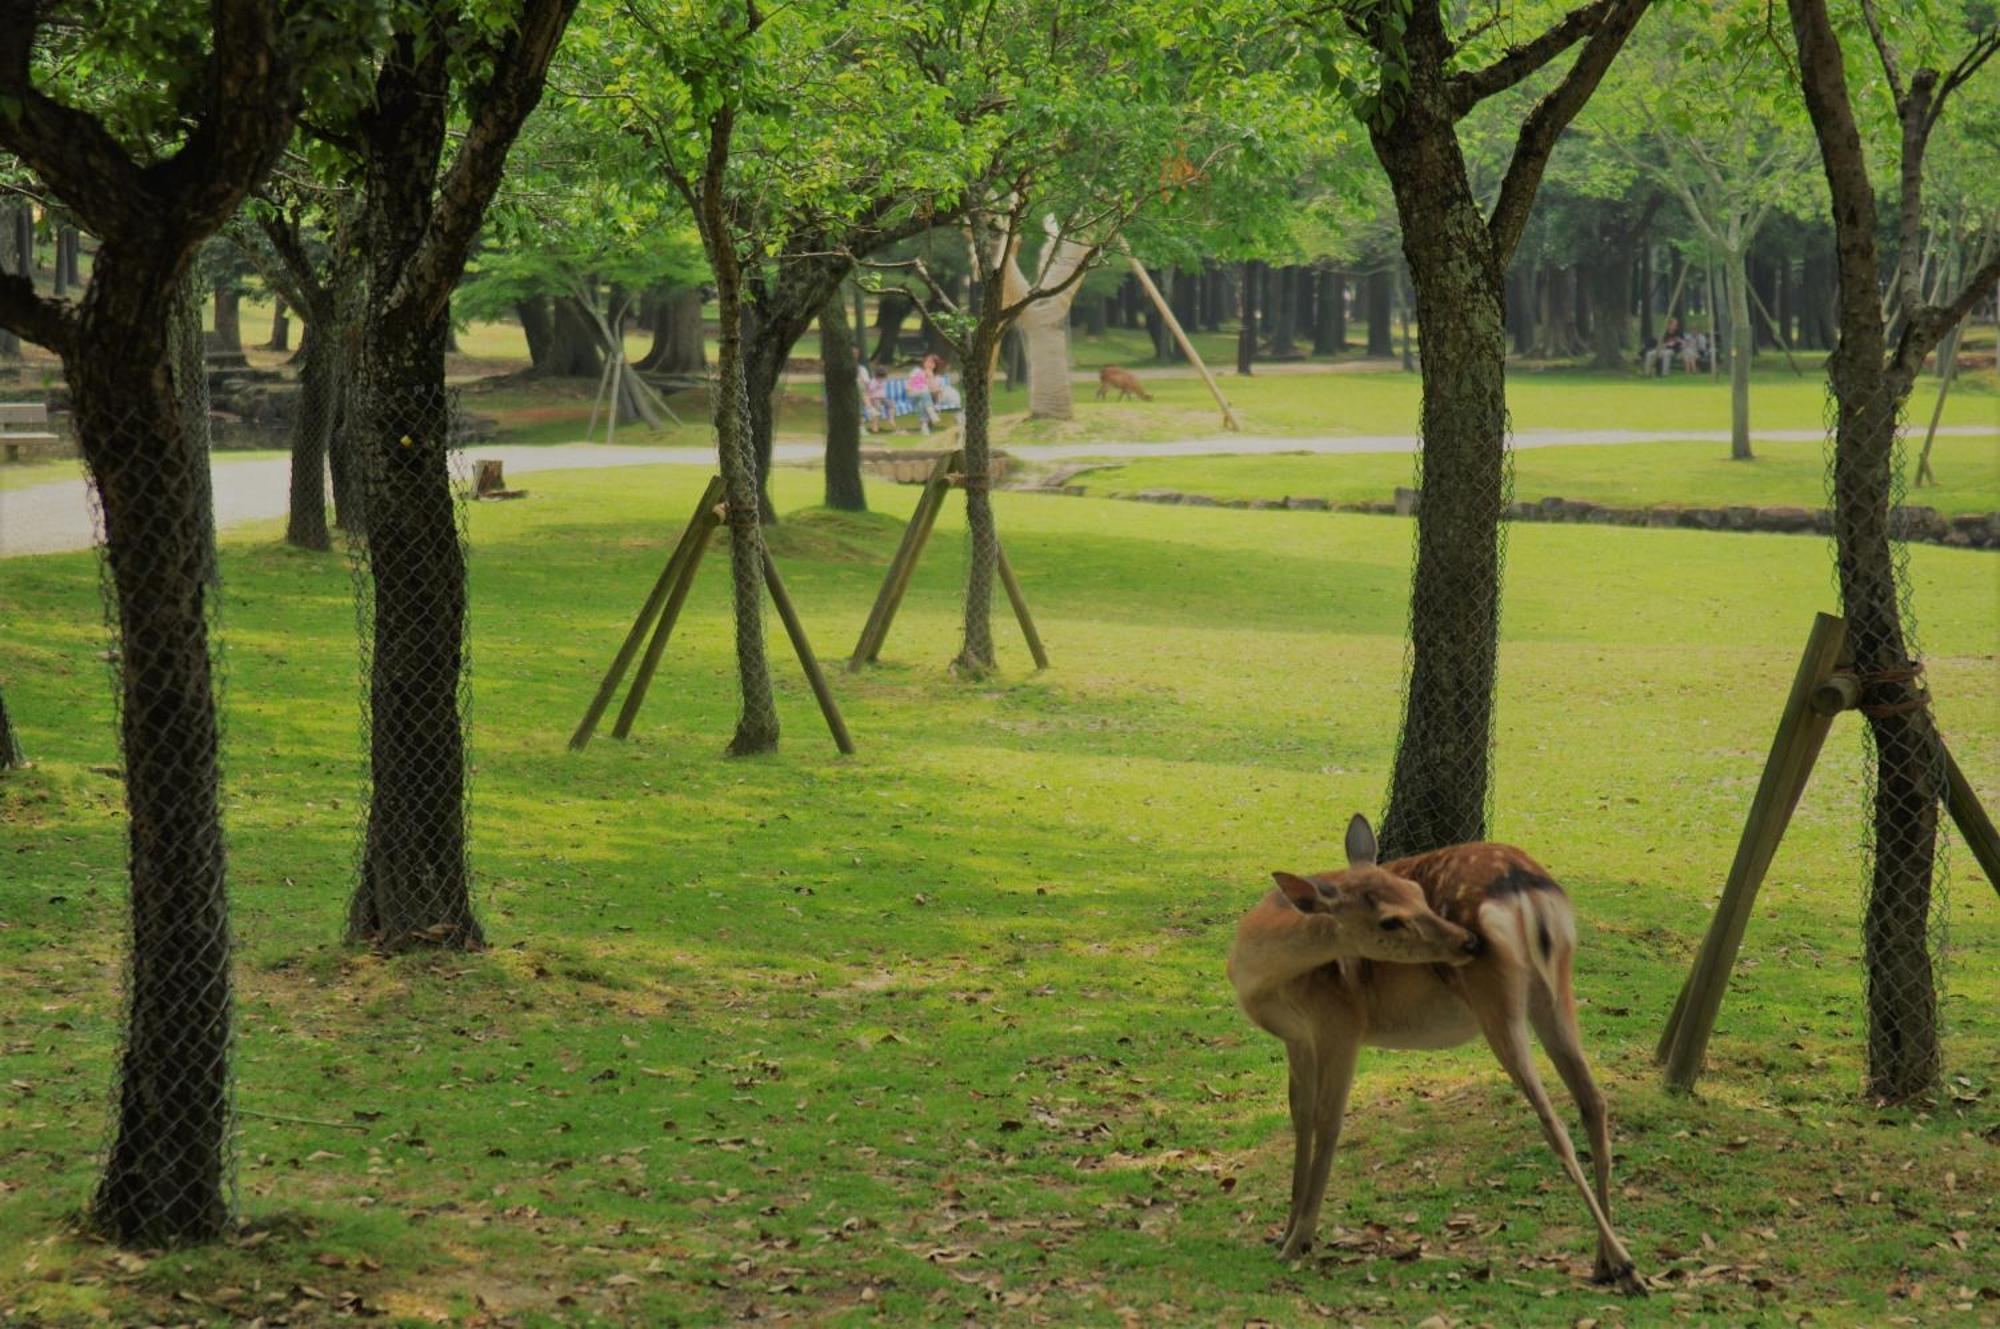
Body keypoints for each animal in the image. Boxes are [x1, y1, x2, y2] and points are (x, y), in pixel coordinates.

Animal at [1232, 816, 1640, 1288]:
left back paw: (1628, 1265)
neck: (1263, 976)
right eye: (1390, 919)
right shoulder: (1297, 1038)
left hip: (1496, 1000)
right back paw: (1605, 1265)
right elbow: (1300, 1119)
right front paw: (1285, 1233)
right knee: (1593, 1101)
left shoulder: (1340, 1024)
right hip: (1554, 990)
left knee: (1553, 1121)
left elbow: (1327, 1123)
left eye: (1417, 893)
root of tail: (1523, 885)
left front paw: (1298, 1241)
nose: (1468, 942)